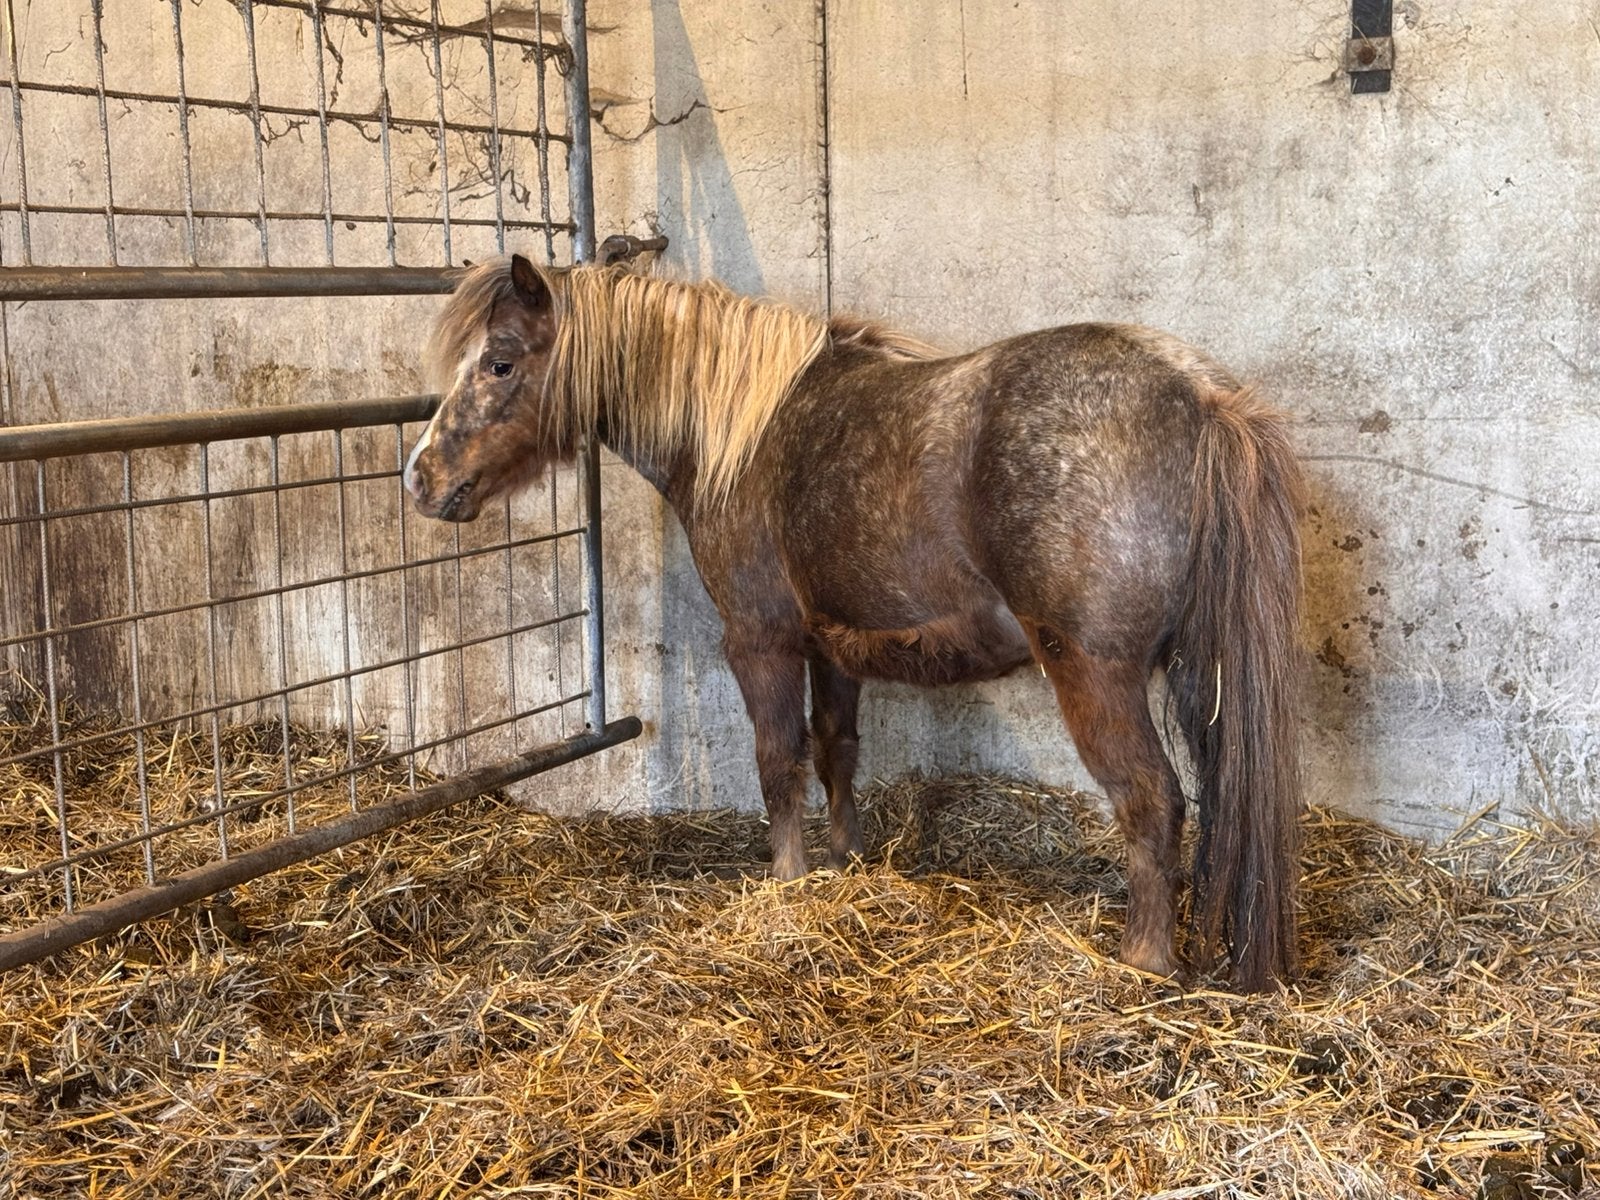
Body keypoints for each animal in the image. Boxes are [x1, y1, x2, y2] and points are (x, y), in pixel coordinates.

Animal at [403, 254, 1305, 991]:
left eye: (501, 360)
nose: (420, 479)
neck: (742, 437)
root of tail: (1200, 398)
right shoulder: (830, 643)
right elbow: (836, 749)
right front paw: (844, 859)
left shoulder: (760, 641)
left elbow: (778, 761)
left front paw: (787, 880)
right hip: (1197, 678)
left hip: (1094, 672)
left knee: (1151, 802)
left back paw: (1143, 961)